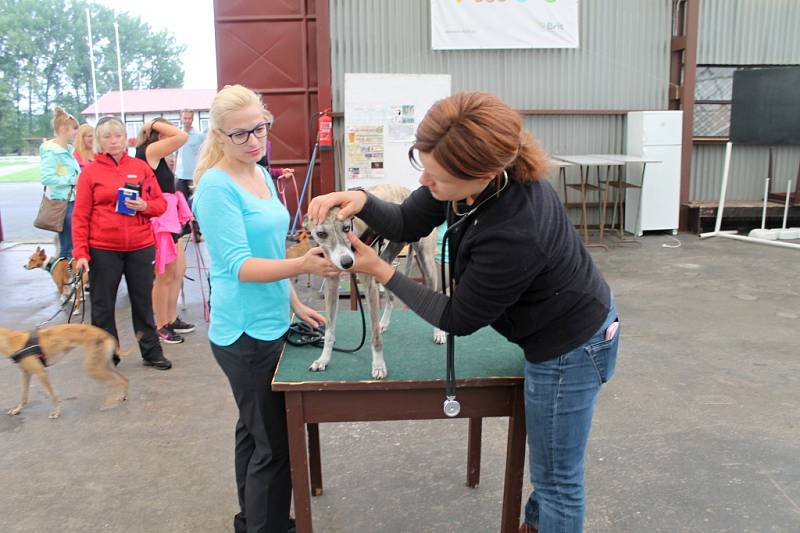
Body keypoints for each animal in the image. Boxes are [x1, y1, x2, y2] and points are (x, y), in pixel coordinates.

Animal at [0, 322, 128, 418]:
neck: (10, 341)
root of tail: (106, 334)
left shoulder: (41, 373)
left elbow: (52, 395)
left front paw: (56, 412)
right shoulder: (26, 373)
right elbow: (23, 395)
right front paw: (17, 410)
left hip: (93, 368)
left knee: (116, 382)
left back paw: (109, 404)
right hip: (104, 365)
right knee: (124, 379)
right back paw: (122, 396)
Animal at [304, 183, 446, 378]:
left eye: (346, 228)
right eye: (321, 234)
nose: (347, 263)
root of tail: (408, 191)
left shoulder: (369, 285)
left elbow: (374, 336)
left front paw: (378, 365)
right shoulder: (331, 284)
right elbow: (330, 329)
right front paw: (323, 359)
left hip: (426, 261)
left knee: (435, 290)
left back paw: (439, 333)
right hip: (385, 261)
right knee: (391, 297)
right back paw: (383, 322)